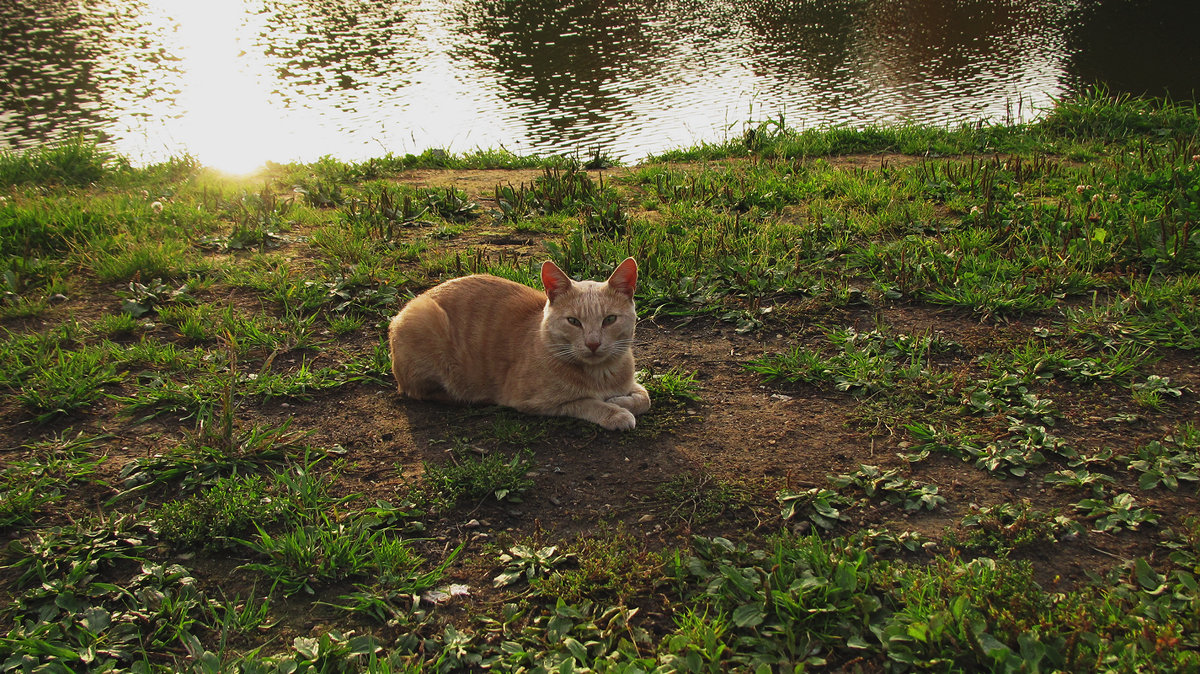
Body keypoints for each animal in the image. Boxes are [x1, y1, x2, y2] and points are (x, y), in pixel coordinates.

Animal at [388, 256, 652, 429]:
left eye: (609, 319)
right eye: (573, 321)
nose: (593, 343)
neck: (601, 374)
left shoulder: (631, 383)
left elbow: (644, 398)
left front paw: (621, 401)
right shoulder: (535, 402)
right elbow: (585, 402)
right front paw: (616, 412)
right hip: (424, 320)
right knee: (422, 391)